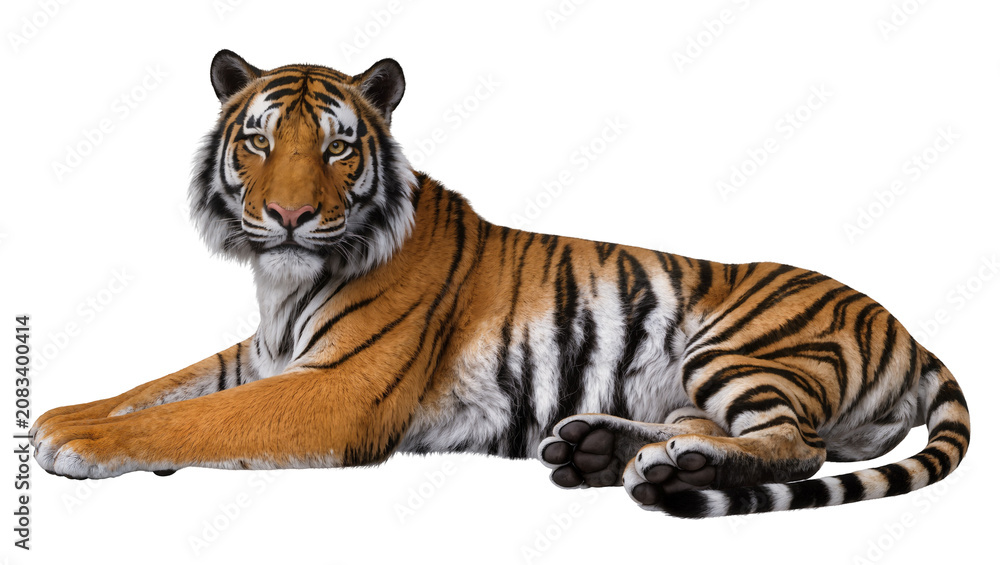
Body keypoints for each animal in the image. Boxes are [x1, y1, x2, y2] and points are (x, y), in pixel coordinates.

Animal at [31, 50, 971, 518]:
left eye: (338, 146)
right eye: (259, 141)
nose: (290, 215)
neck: (283, 283)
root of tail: (909, 330)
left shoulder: (339, 389)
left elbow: (200, 416)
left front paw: (76, 444)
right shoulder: (265, 354)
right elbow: (162, 388)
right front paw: (62, 414)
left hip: (738, 347)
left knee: (798, 443)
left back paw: (668, 464)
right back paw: (605, 450)